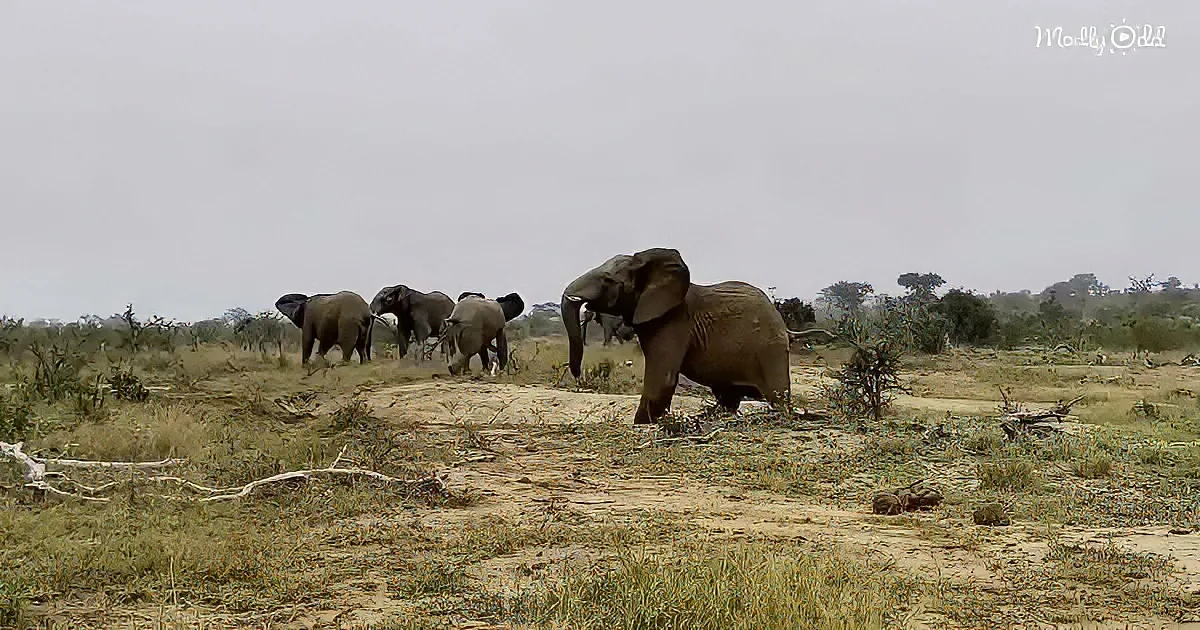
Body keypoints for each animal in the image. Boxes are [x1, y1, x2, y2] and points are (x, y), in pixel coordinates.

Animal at [560, 248, 836, 424]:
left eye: (607, 280)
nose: (577, 375)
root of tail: (786, 328)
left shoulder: (674, 322)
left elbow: (662, 380)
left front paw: (641, 425)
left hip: (771, 350)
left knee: (776, 399)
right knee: (729, 397)